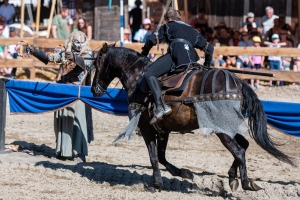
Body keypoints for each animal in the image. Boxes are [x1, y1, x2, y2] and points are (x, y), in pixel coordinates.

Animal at [91, 43, 292, 193]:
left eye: (96, 65)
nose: (94, 89)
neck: (138, 77)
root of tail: (238, 82)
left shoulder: (147, 129)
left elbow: (154, 157)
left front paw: (156, 184)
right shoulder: (162, 131)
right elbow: (161, 157)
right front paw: (183, 173)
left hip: (223, 131)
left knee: (239, 151)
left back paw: (245, 182)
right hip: (230, 128)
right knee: (244, 145)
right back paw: (232, 178)